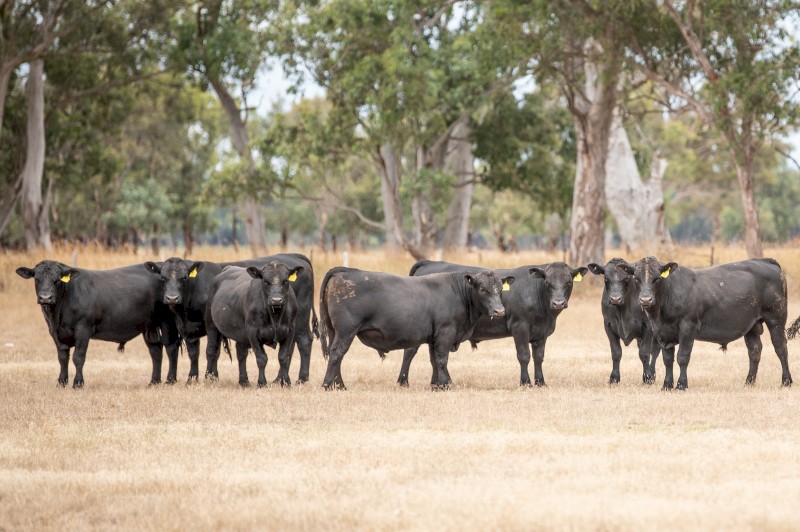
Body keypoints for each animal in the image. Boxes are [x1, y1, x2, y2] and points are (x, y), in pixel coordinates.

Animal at [16, 260, 180, 387]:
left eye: (57, 280)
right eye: (37, 278)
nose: (45, 298)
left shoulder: (83, 329)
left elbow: (78, 357)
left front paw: (78, 383)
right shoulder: (54, 331)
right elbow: (62, 357)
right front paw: (61, 382)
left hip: (167, 321)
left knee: (171, 347)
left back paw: (170, 380)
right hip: (149, 325)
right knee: (155, 350)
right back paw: (154, 381)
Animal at [144, 253, 317, 384]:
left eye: (184, 277)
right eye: (163, 277)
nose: (172, 298)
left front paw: (209, 376)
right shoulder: (188, 329)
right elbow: (195, 352)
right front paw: (192, 378)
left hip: (300, 320)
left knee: (304, 341)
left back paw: (301, 378)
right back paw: (278, 379)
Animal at [319, 267, 515, 390]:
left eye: (500, 290)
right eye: (482, 289)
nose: (499, 311)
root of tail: (346, 270)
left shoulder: (434, 337)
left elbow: (434, 360)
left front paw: (436, 385)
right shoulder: (445, 332)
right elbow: (442, 359)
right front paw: (446, 384)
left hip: (334, 330)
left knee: (336, 355)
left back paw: (339, 385)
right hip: (346, 331)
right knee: (337, 354)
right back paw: (328, 384)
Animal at [398, 260, 587, 387]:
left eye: (569, 282)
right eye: (547, 282)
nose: (558, 303)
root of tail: (430, 262)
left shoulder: (541, 332)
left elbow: (539, 357)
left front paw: (541, 382)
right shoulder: (520, 327)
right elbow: (524, 355)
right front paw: (525, 382)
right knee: (410, 351)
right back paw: (404, 381)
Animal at [623, 256, 794, 390]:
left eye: (657, 278)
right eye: (636, 279)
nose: (646, 300)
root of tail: (765, 261)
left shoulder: (688, 327)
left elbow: (682, 357)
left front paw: (681, 385)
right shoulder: (663, 333)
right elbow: (668, 360)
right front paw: (667, 385)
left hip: (776, 318)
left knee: (781, 348)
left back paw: (786, 381)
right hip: (751, 325)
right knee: (754, 351)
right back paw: (749, 382)